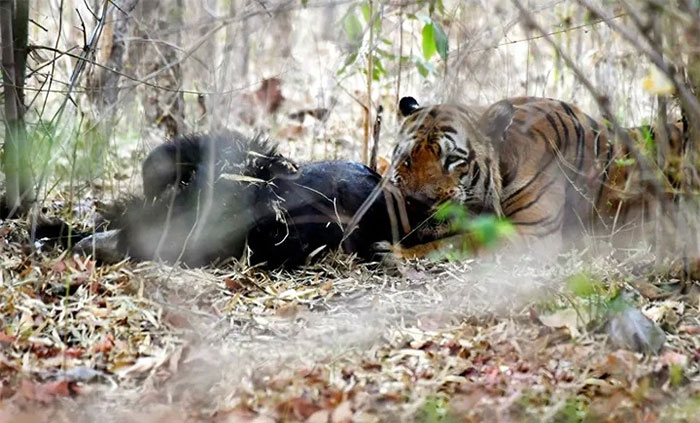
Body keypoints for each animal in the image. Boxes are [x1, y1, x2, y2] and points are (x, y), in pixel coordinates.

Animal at [388, 96, 696, 258]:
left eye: (452, 160)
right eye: (407, 158)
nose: (417, 202)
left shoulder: (530, 233)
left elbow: (461, 241)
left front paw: (395, 254)